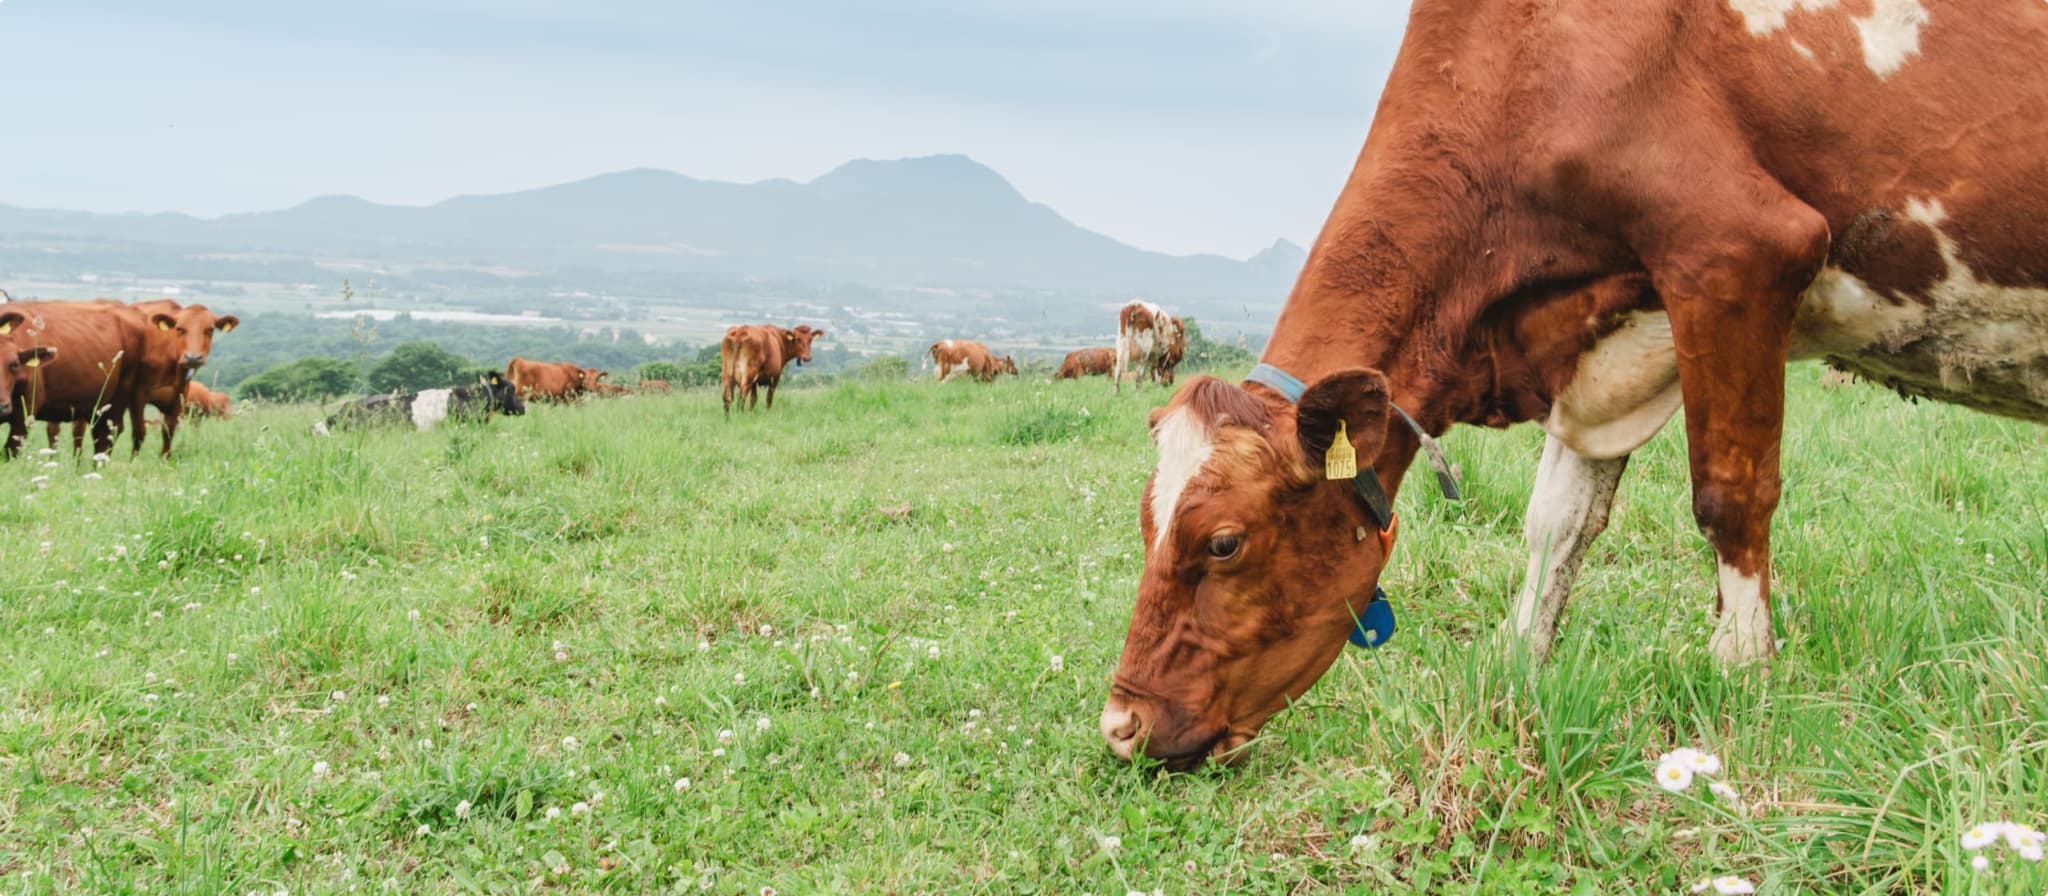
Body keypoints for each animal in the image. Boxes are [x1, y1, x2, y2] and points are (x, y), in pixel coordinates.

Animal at [1114, 0, 2048, 769]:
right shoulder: (1599, 355)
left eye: (1223, 542)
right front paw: (1518, 664)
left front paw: (1743, 675)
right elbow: (1556, 522)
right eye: (1146, 524)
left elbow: (1730, 493)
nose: (1119, 727)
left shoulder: (1740, 251)